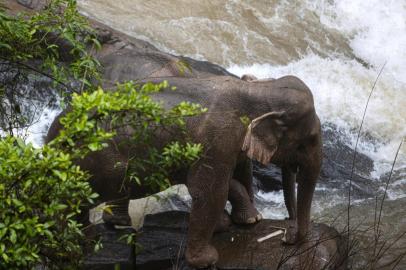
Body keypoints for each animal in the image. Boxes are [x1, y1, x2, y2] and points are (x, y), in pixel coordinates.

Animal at [46, 73, 322, 268]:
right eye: (308, 140)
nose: (286, 236)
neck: (258, 90)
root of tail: (53, 136)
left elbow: (230, 179)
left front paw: (240, 221)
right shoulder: (217, 139)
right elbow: (209, 191)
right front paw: (208, 260)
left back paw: (114, 227)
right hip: (97, 160)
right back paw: (82, 243)